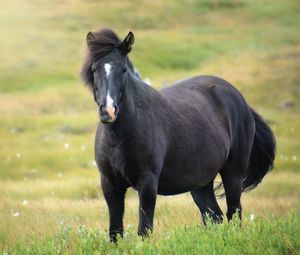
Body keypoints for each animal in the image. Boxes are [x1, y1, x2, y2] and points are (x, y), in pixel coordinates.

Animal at [81, 28, 276, 241]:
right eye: (94, 69)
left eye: (123, 69)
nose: (108, 111)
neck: (119, 137)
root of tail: (240, 99)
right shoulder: (110, 185)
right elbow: (115, 232)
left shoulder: (147, 183)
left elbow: (144, 230)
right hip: (201, 184)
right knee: (214, 216)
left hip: (233, 173)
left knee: (234, 213)